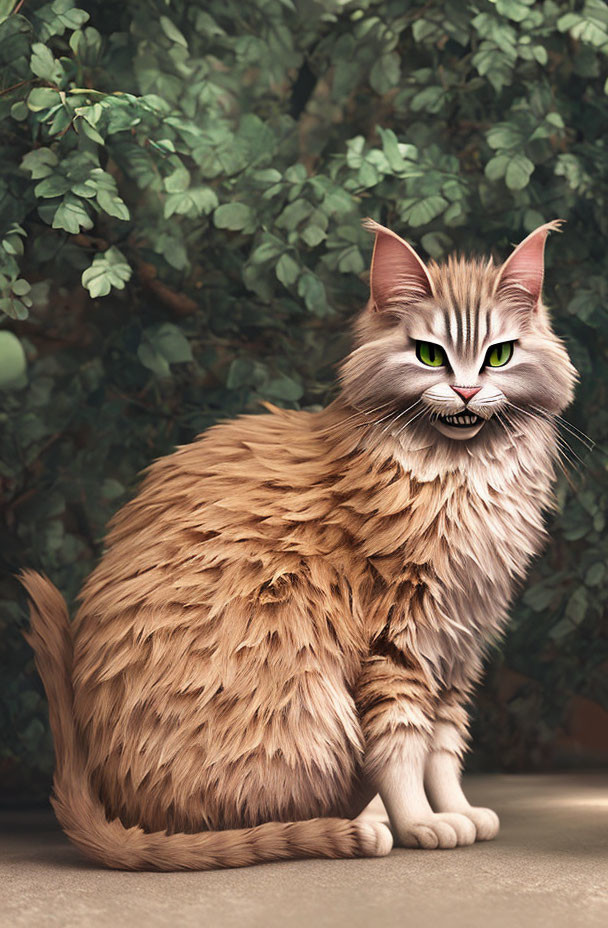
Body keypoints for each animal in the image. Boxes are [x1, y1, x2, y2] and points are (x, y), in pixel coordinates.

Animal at [22, 218, 576, 872]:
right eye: (430, 355)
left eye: (498, 355)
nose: (465, 392)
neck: (461, 478)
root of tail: (117, 816)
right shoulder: (398, 639)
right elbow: (401, 748)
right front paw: (421, 823)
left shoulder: (459, 645)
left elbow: (443, 748)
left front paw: (458, 811)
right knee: (262, 821)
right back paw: (363, 826)